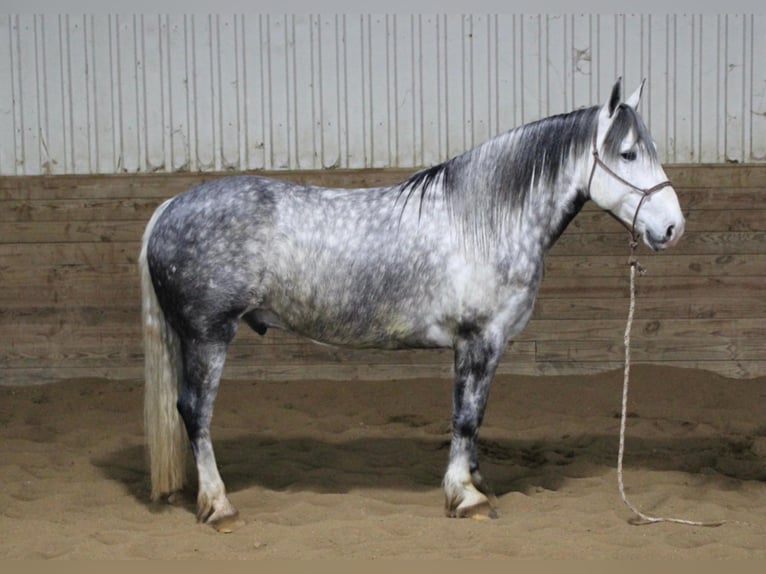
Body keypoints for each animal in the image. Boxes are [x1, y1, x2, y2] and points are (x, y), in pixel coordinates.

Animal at [141, 79, 688, 532]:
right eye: (627, 153)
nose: (672, 228)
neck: (484, 221)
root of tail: (169, 208)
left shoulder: (488, 345)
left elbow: (476, 415)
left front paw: (476, 484)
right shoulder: (476, 339)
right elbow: (464, 418)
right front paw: (465, 497)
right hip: (208, 336)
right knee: (195, 412)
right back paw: (219, 506)